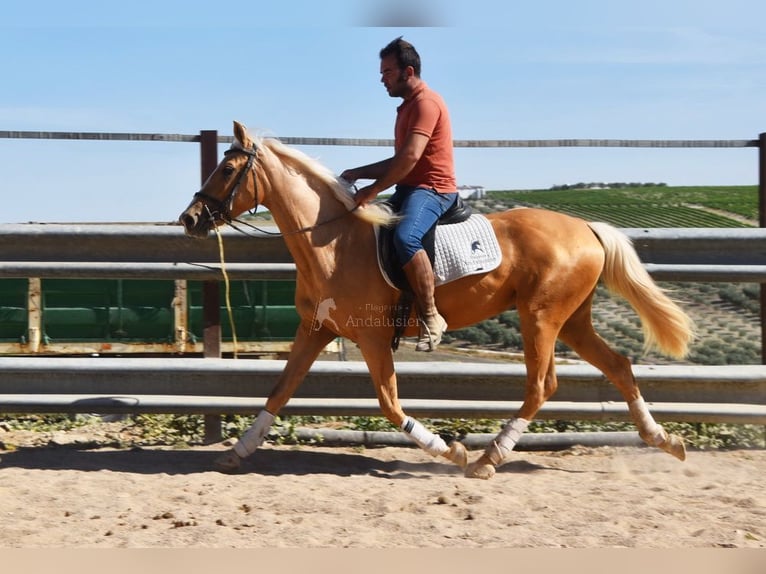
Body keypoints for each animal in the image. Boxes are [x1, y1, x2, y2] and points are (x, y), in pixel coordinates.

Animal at [180, 121, 696, 482]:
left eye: (228, 169)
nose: (189, 218)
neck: (332, 242)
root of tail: (586, 228)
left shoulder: (372, 339)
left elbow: (390, 405)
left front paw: (451, 450)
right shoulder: (316, 330)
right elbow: (279, 390)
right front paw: (237, 452)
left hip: (541, 318)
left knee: (541, 385)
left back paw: (488, 458)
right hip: (572, 320)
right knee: (619, 366)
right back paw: (665, 440)